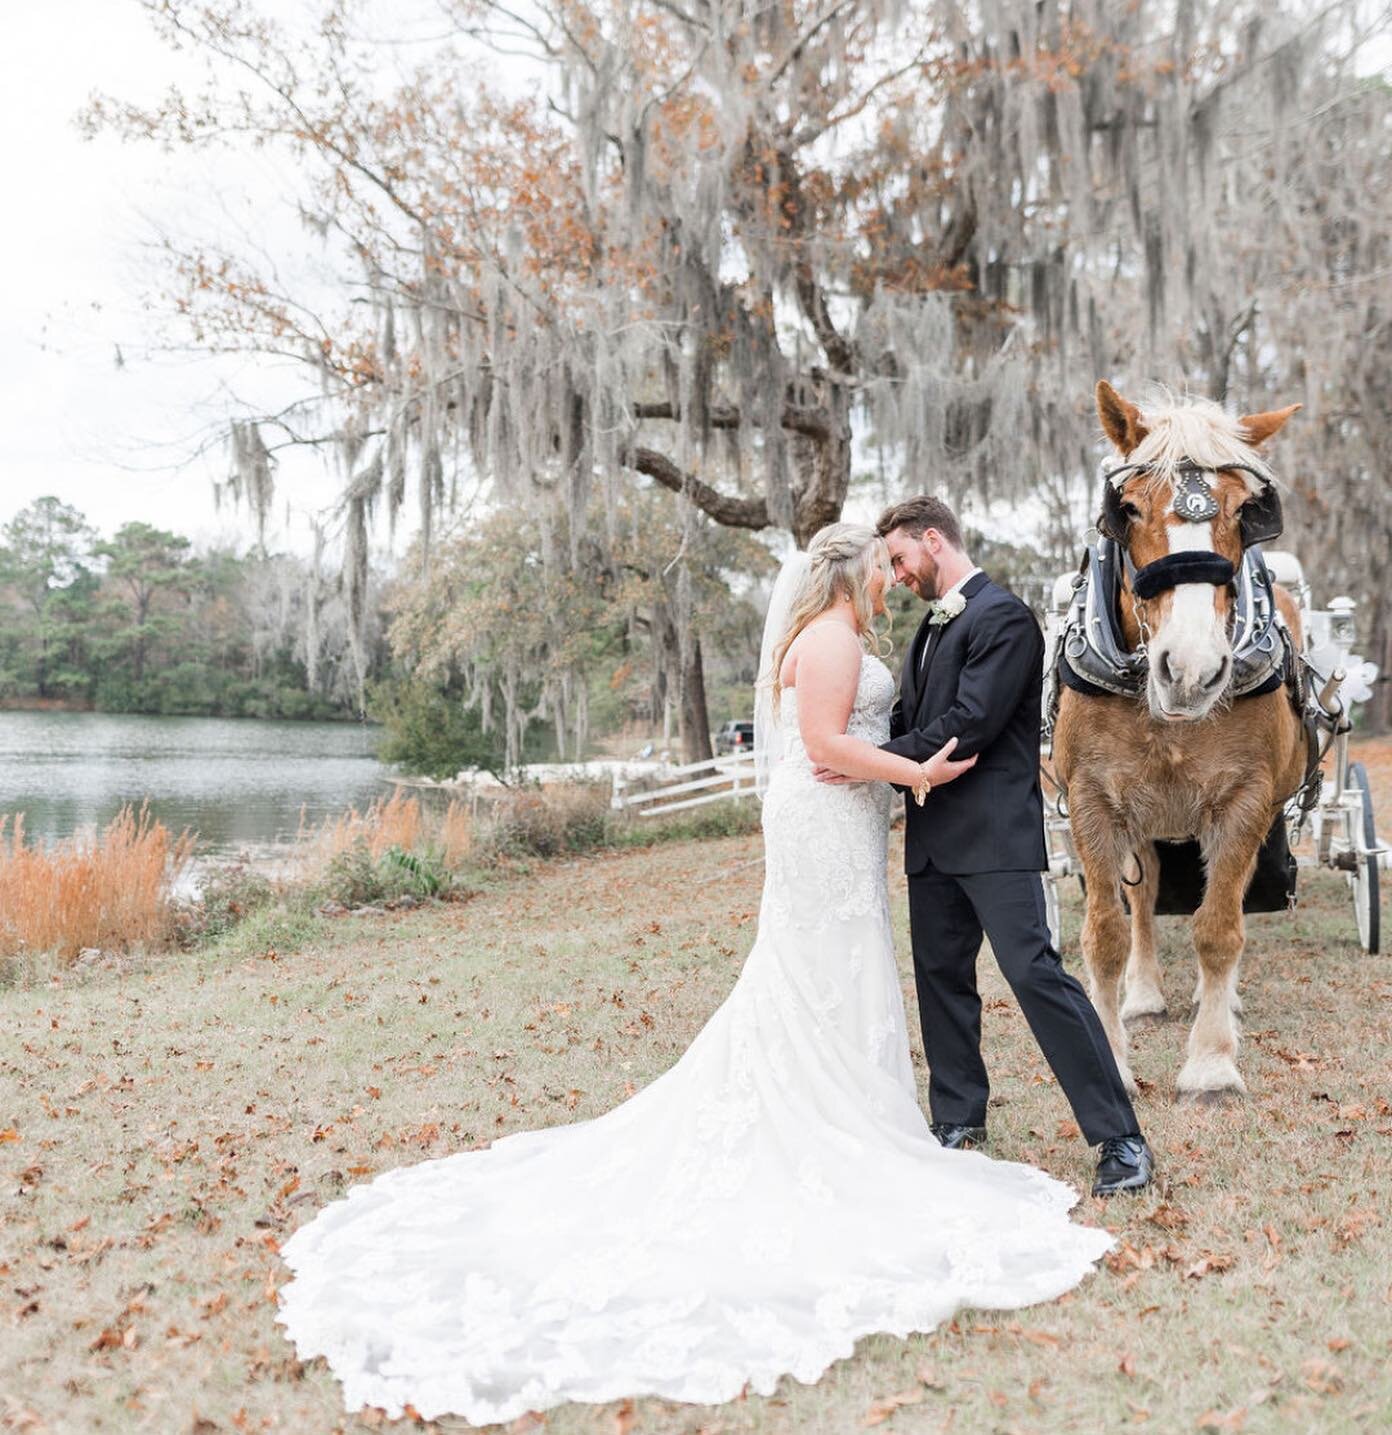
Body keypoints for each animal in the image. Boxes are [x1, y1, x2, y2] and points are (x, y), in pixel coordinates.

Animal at [1050, 381, 1314, 1096]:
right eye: (1127, 508)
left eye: (1246, 511)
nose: (1192, 668)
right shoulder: (1093, 800)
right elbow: (1107, 933)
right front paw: (1112, 1057)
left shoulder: (1245, 801)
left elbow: (1219, 929)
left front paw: (1213, 1062)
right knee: (1143, 899)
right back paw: (1144, 993)